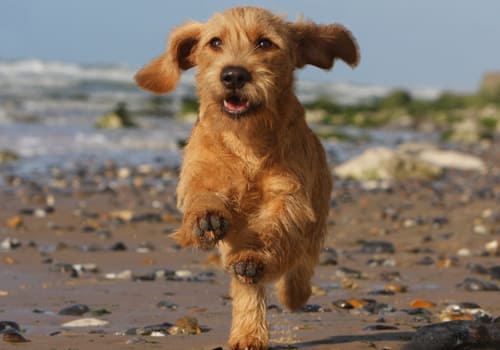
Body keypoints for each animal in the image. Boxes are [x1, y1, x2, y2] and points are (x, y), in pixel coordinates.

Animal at [135, 6, 358, 350]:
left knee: (299, 265)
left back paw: (290, 293)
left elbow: (277, 228)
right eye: (215, 42)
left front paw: (257, 256)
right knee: (247, 288)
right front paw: (205, 218)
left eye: (265, 43)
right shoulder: (203, 174)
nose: (234, 75)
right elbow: (203, 195)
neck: (246, 141)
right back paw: (247, 334)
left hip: (315, 223)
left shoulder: (289, 196)